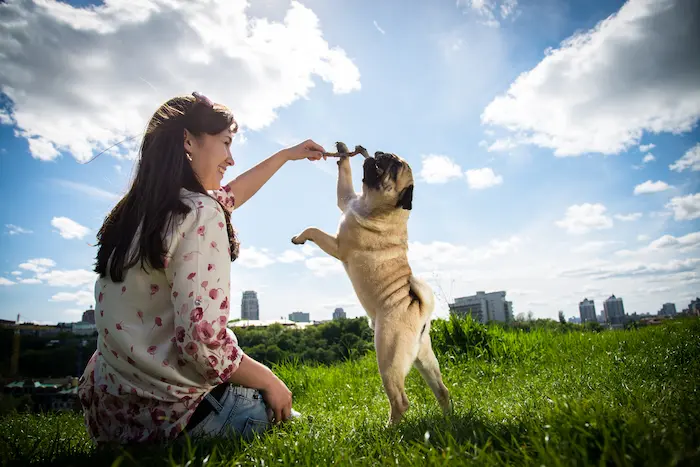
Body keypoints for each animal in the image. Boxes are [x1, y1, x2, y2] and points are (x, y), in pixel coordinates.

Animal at [292, 141, 452, 426]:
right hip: (425, 358)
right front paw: (343, 151)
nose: (381, 154)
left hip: (387, 356)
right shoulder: (345, 198)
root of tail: (420, 310)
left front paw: (301, 237)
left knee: (400, 401)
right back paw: (448, 419)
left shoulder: (337, 245)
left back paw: (390, 428)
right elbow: (344, 176)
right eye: (388, 157)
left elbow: (314, 230)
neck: (377, 206)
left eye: (394, 167)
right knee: (442, 390)